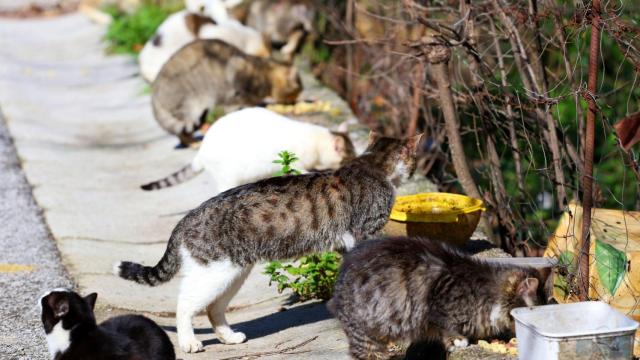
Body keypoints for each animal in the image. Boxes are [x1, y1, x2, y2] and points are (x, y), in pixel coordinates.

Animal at [117, 131, 422, 352]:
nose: (414, 169)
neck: (371, 165)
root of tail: (187, 217)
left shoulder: (345, 245)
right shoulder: (363, 235)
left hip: (232, 273)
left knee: (213, 308)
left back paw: (228, 337)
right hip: (213, 272)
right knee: (185, 304)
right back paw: (189, 342)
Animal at [139, 107, 356, 194]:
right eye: (348, 159)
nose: (352, 164)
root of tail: (200, 151)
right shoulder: (297, 161)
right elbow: (302, 170)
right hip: (227, 177)